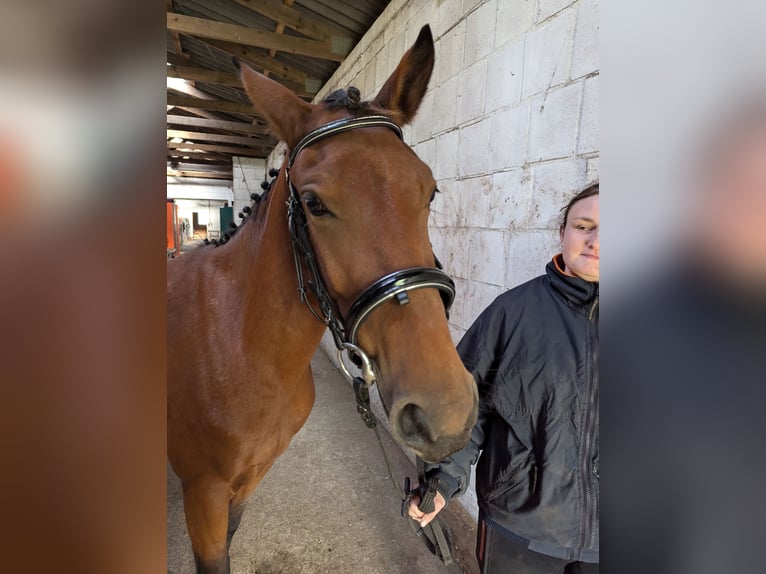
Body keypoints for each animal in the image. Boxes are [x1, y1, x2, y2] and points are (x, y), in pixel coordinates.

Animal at [170, 24, 480, 572]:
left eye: (431, 191)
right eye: (313, 204)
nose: (446, 413)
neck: (240, 346)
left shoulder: (246, 482)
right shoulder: (203, 494)